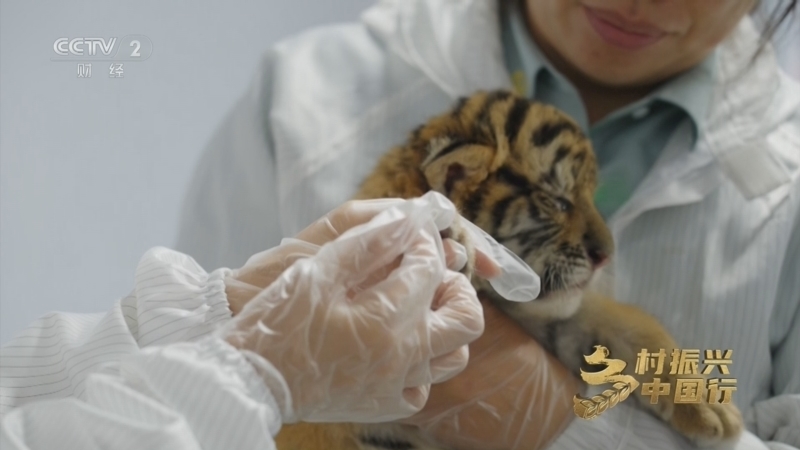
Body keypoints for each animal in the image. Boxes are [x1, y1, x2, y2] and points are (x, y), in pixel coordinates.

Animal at [273, 90, 744, 450]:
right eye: (557, 201)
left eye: (591, 196)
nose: (607, 255)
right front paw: (433, 233)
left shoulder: (564, 319)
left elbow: (631, 324)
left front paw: (708, 399)